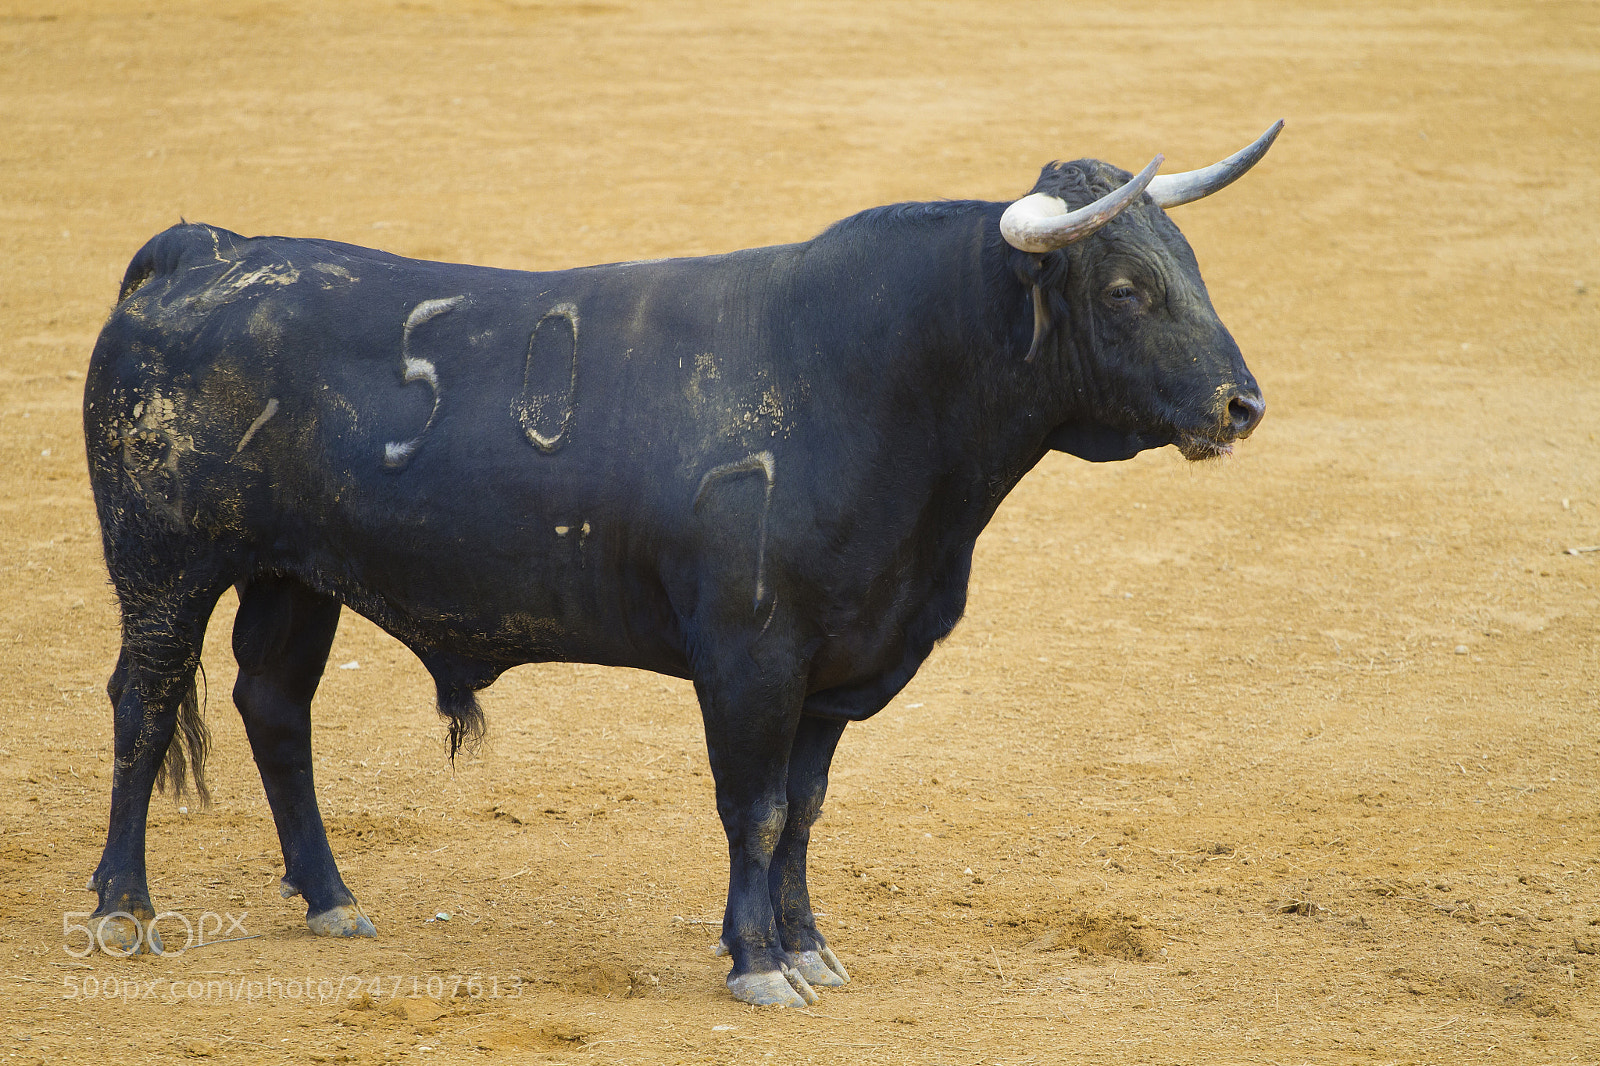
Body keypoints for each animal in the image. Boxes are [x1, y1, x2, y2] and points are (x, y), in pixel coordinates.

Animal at [82, 123, 1280, 1006]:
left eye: (1189, 267)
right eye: (1124, 288)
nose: (1241, 405)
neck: (873, 379)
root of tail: (204, 251)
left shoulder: (833, 671)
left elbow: (802, 810)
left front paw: (809, 948)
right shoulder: (750, 659)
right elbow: (752, 808)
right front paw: (757, 966)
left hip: (295, 576)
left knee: (273, 704)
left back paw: (330, 897)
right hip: (165, 565)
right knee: (144, 704)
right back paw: (122, 909)